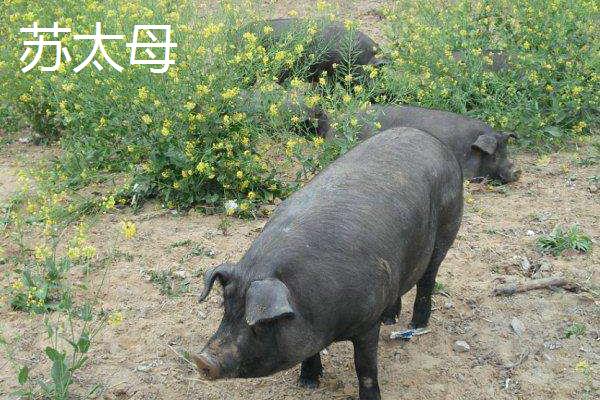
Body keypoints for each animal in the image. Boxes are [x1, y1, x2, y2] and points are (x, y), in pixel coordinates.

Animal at [196, 127, 464, 400]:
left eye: (262, 323)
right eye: (226, 307)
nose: (202, 360)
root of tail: (429, 137)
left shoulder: (367, 322)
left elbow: (365, 367)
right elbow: (310, 351)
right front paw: (307, 383)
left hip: (446, 230)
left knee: (428, 280)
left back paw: (416, 324)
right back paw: (390, 319)